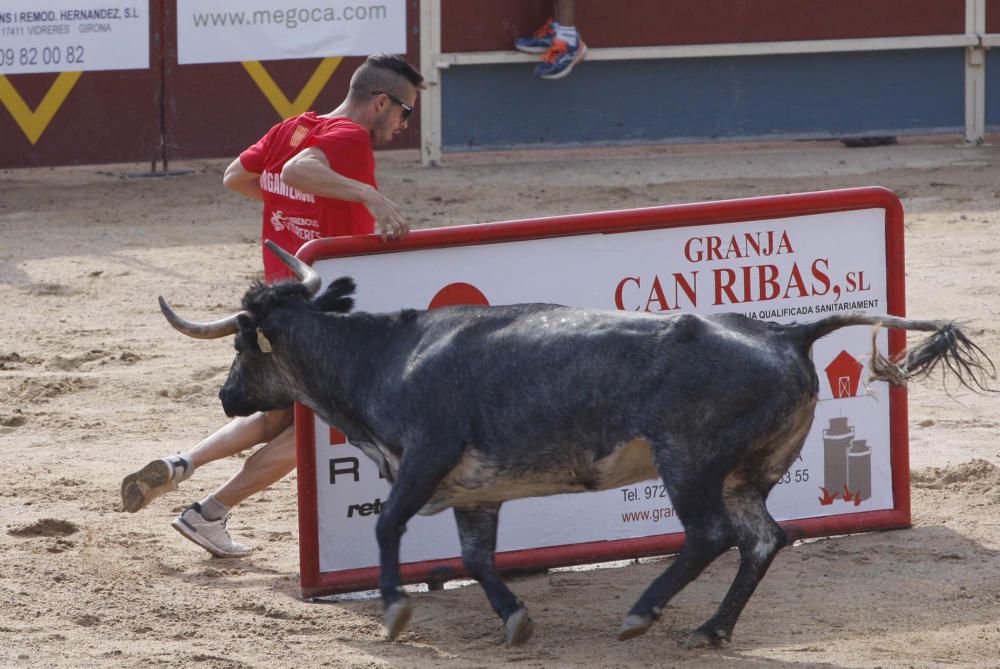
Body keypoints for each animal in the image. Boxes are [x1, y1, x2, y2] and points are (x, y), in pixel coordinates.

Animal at [160, 240, 988, 648]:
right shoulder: (476, 488)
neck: (384, 355)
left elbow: (388, 524)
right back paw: (711, 628)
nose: (228, 396)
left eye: (241, 344)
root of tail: (784, 332)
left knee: (710, 535)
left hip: (689, 462)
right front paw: (514, 620)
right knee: (761, 539)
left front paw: (395, 610)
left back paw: (643, 613)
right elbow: (475, 556)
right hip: (747, 472)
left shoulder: (426, 455)